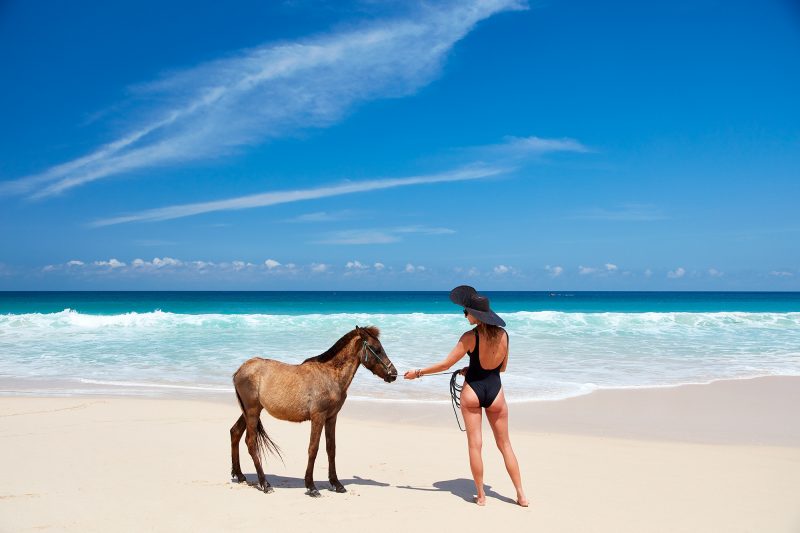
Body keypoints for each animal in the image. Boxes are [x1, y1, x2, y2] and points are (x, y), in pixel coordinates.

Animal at [230, 326, 396, 496]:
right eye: (377, 349)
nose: (394, 374)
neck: (329, 375)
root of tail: (239, 370)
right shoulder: (318, 417)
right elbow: (313, 449)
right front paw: (311, 486)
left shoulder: (331, 418)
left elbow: (331, 449)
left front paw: (337, 484)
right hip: (252, 411)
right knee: (250, 442)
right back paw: (264, 483)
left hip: (250, 412)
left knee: (235, 432)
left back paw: (240, 475)